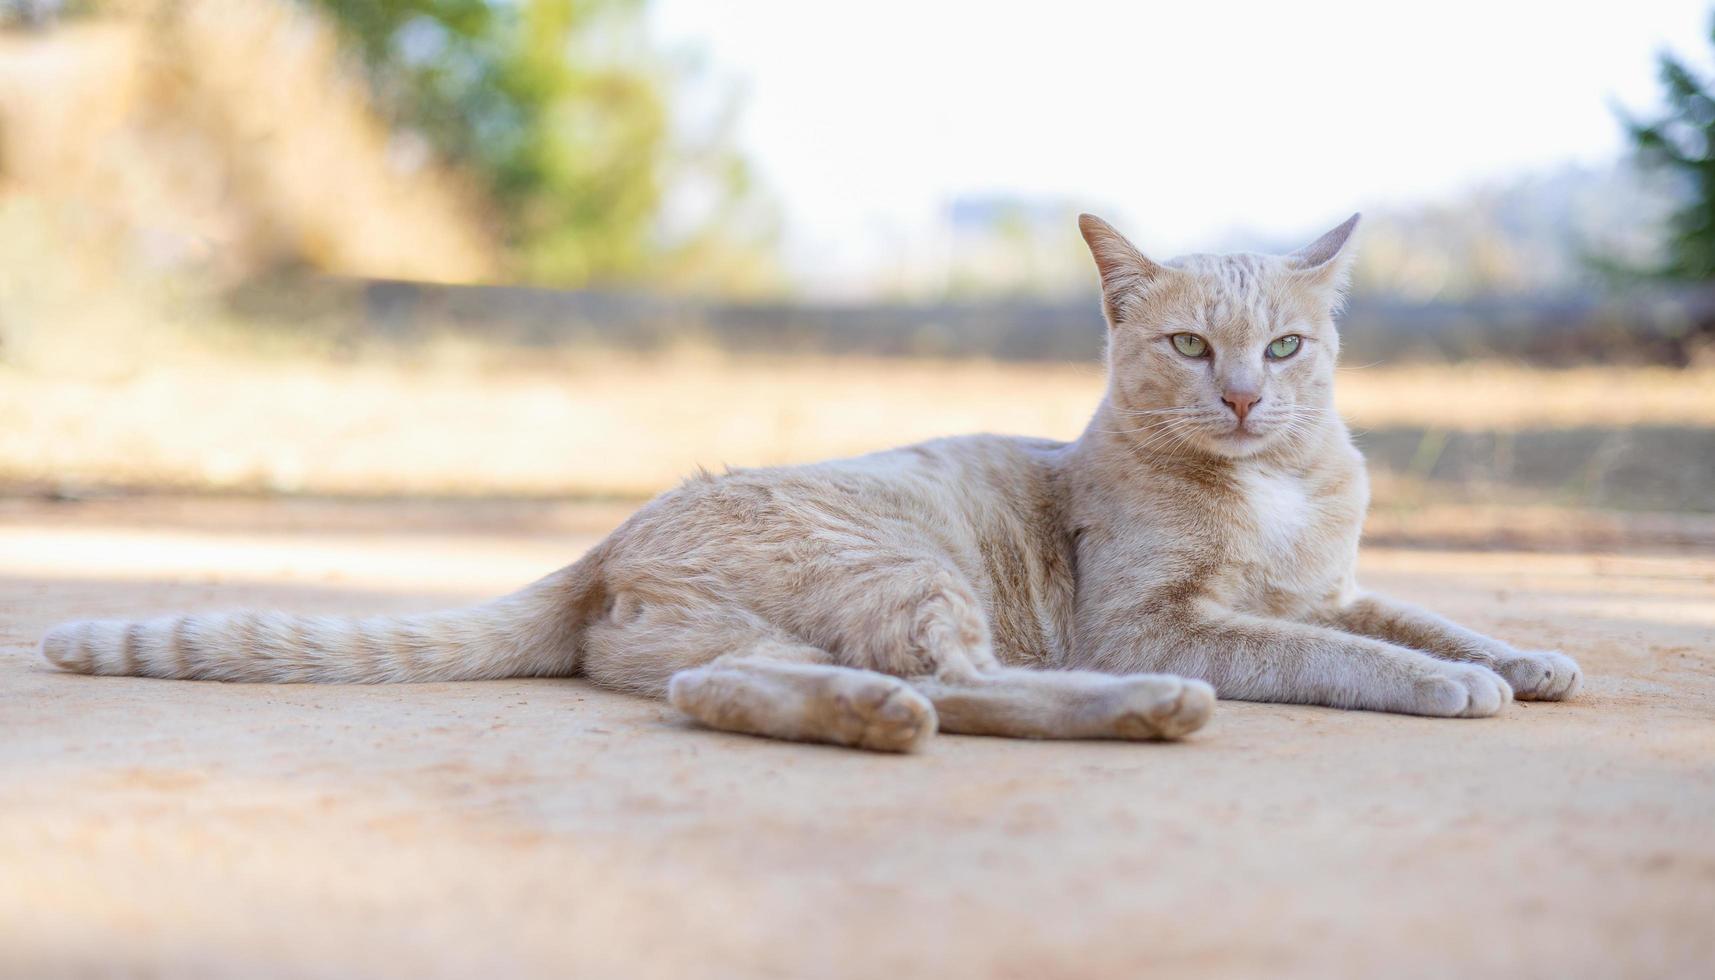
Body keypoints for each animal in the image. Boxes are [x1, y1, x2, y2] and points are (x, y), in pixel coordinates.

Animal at [36, 212, 1577, 751]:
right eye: (1190, 345)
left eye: (1286, 345)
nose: (1246, 395)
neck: (1272, 487)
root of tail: (614, 533)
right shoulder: (1162, 615)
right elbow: (1335, 652)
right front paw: (1451, 686)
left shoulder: (1334, 582)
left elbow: (1409, 615)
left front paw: (1521, 657)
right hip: (911, 568)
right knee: (968, 683)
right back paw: (1134, 708)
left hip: (769, 625)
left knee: (725, 686)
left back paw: (866, 716)